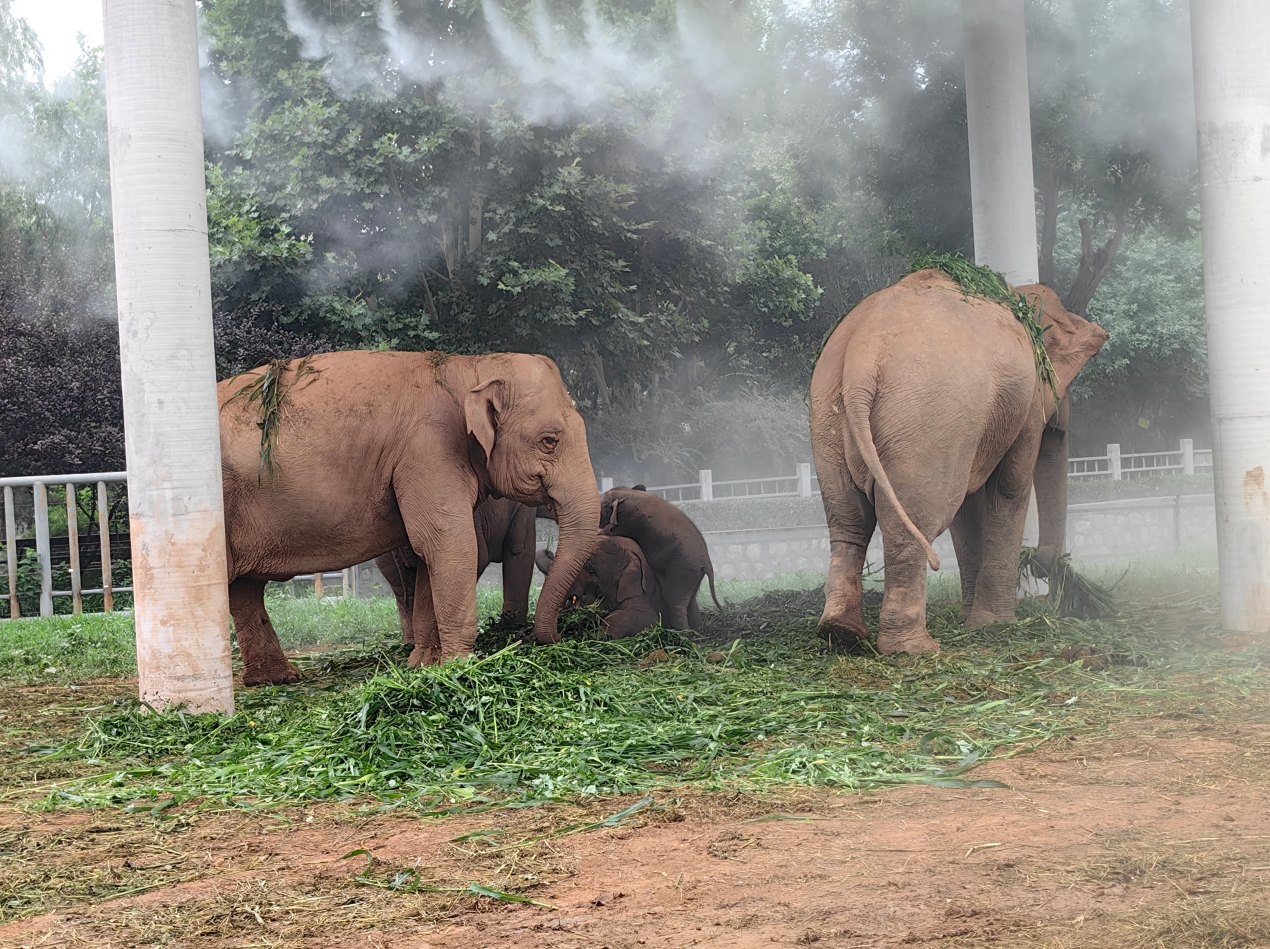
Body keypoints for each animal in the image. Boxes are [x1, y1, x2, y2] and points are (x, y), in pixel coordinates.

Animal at [598, 487, 721, 629]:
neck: (627, 493)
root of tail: (707, 563)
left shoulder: (627, 522)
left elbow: (610, 531)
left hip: (682, 571)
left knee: (674, 601)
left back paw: (681, 632)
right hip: (693, 574)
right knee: (690, 601)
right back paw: (696, 628)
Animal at [809, 269, 1108, 655]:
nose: (1042, 566)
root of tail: (862, 358)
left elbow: (967, 505)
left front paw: (971, 619)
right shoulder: (1025, 406)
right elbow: (1008, 487)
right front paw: (995, 625)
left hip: (827, 416)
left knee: (849, 521)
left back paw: (841, 633)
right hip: (927, 419)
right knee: (914, 521)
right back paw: (914, 649)